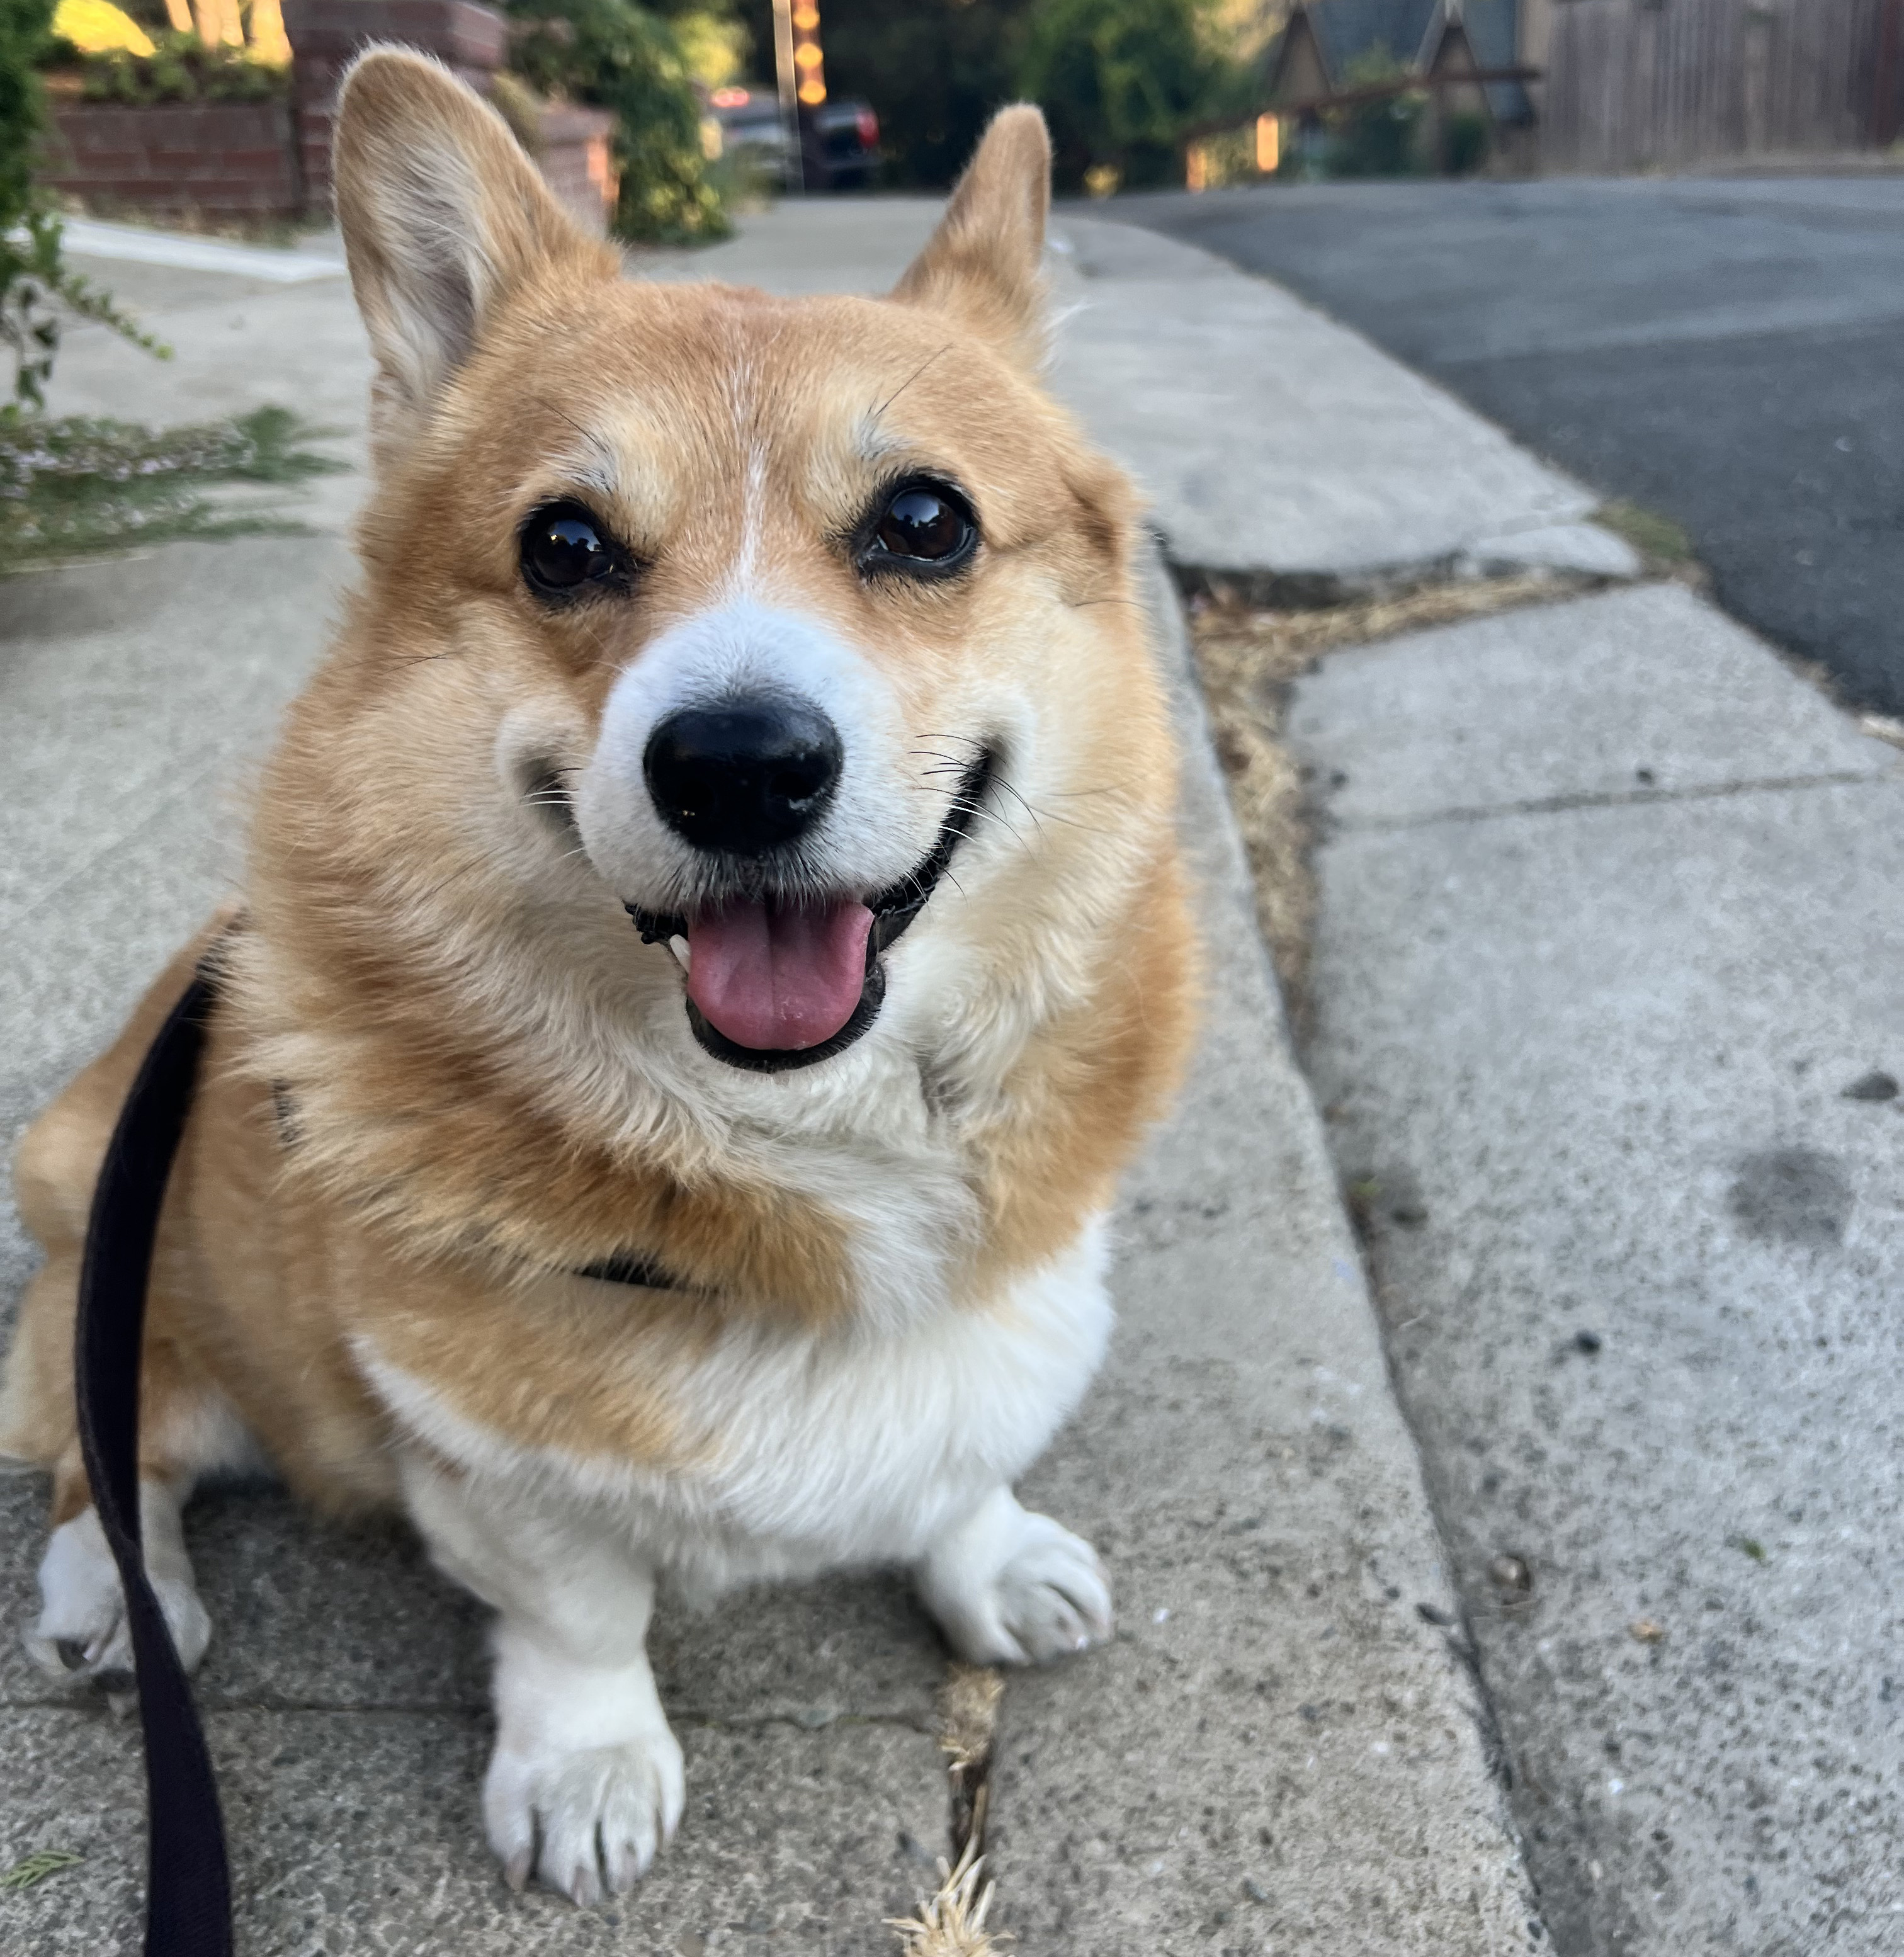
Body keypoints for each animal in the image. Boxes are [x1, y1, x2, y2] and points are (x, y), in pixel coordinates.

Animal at [0, 54, 1189, 1902]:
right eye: (563, 544)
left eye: (926, 522)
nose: (741, 767)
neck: (798, 1146)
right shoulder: (476, 1443)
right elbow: (578, 1617)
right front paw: (588, 1771)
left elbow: (960, 1460)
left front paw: (989, 1562)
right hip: (114, 1279)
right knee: (103, 1451)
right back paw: (114, 1603)